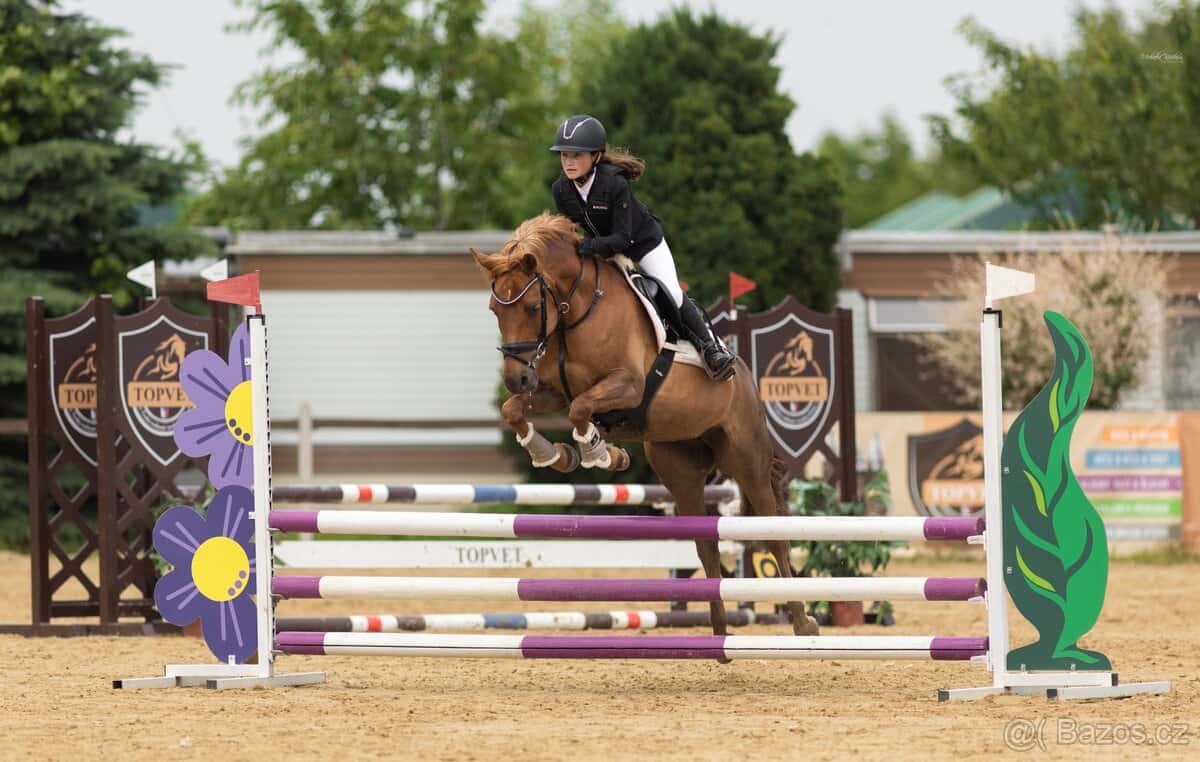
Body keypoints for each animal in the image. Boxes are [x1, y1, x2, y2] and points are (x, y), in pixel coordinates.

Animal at [471, 213, 820, 643]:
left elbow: (581, 411)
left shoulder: (628, 385)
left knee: (773, 532)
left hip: (746, 458)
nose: (516, 379)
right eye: (494, 310)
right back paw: (719, 631)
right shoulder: (553, 391)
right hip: (681, 470)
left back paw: (802, 621)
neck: (575, 311)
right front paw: (556, 454)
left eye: (534, 306)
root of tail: (745, 377)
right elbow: (515, 411)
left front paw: (600, 453)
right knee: (706, 544)